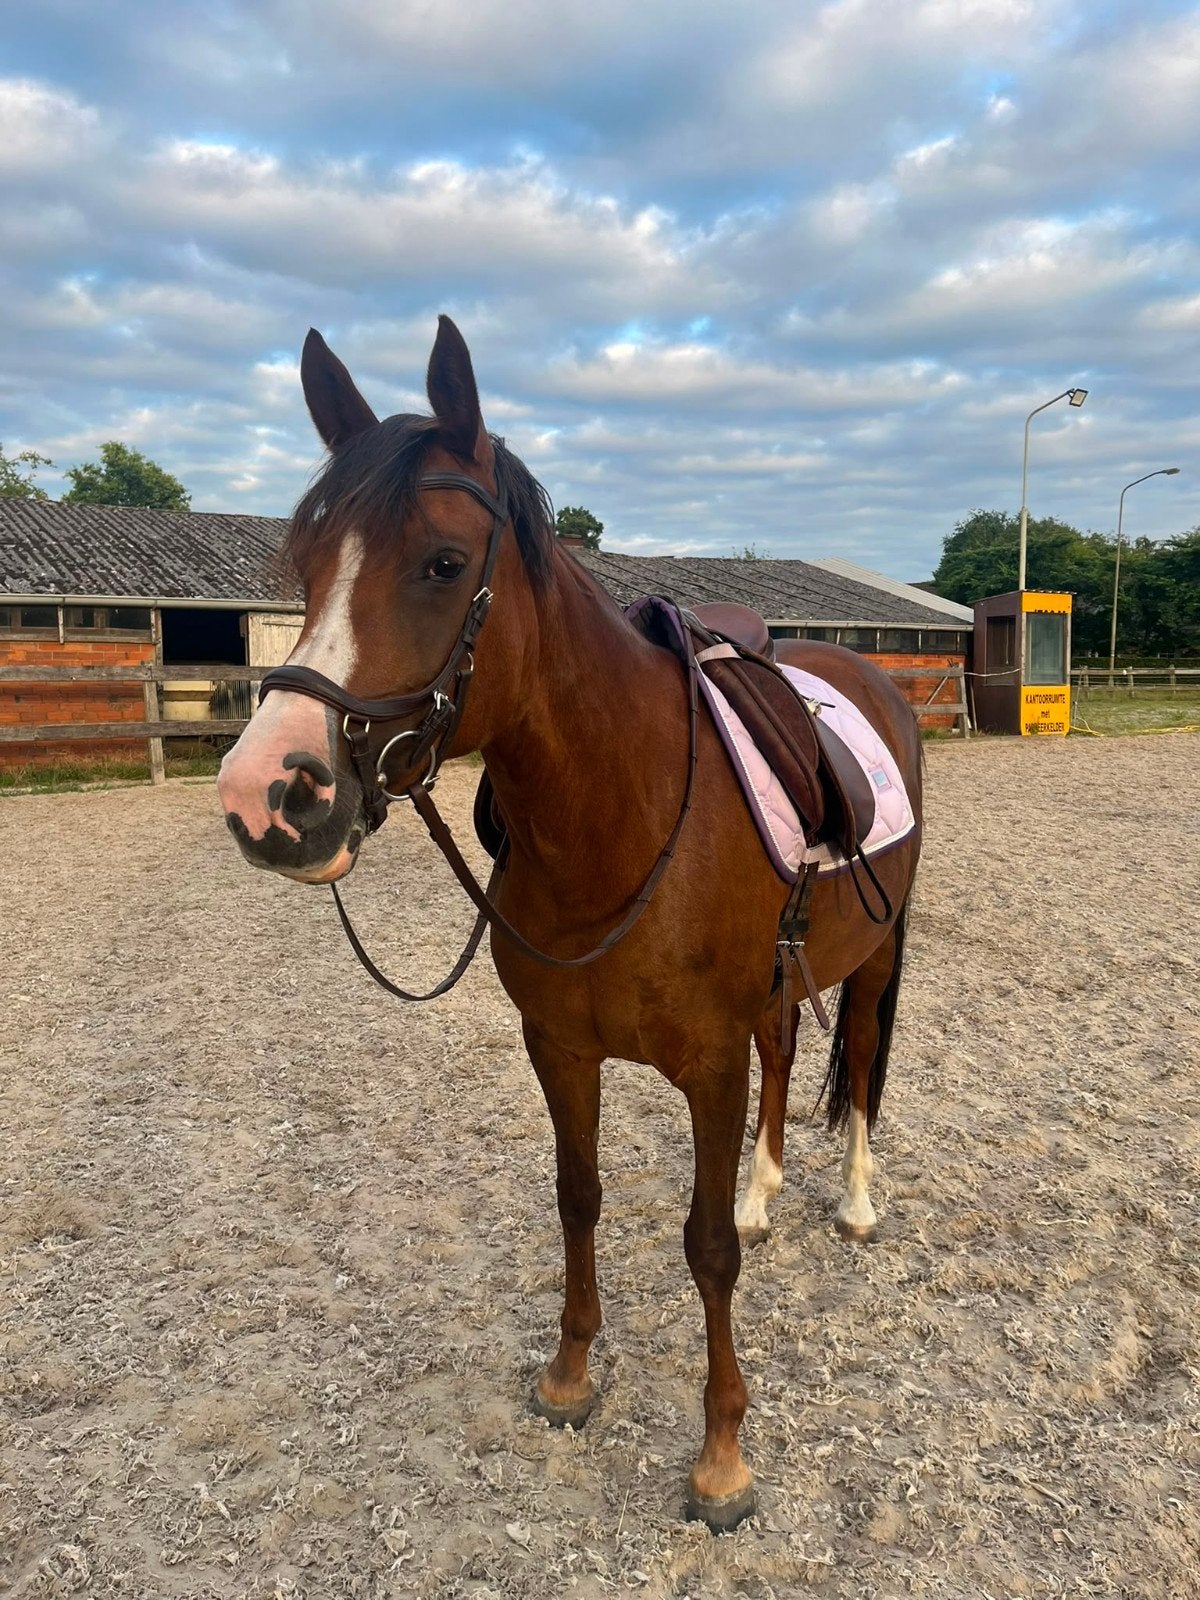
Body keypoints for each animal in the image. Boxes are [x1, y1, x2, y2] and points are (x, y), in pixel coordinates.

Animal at [217, 316, 923, 1531]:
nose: (269, 794)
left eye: (444, 564)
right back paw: (765, 1195)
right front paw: (570, 1374)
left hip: (875, 958)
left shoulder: (707, 1060)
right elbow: (578, 1199)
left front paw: (722, 1457)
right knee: (791, 1053)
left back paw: (855, 1204)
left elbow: (701, 1251)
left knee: (866, 1058)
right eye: (305, 570)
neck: (618, 817)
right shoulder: (560, 1046)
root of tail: (865, 673)